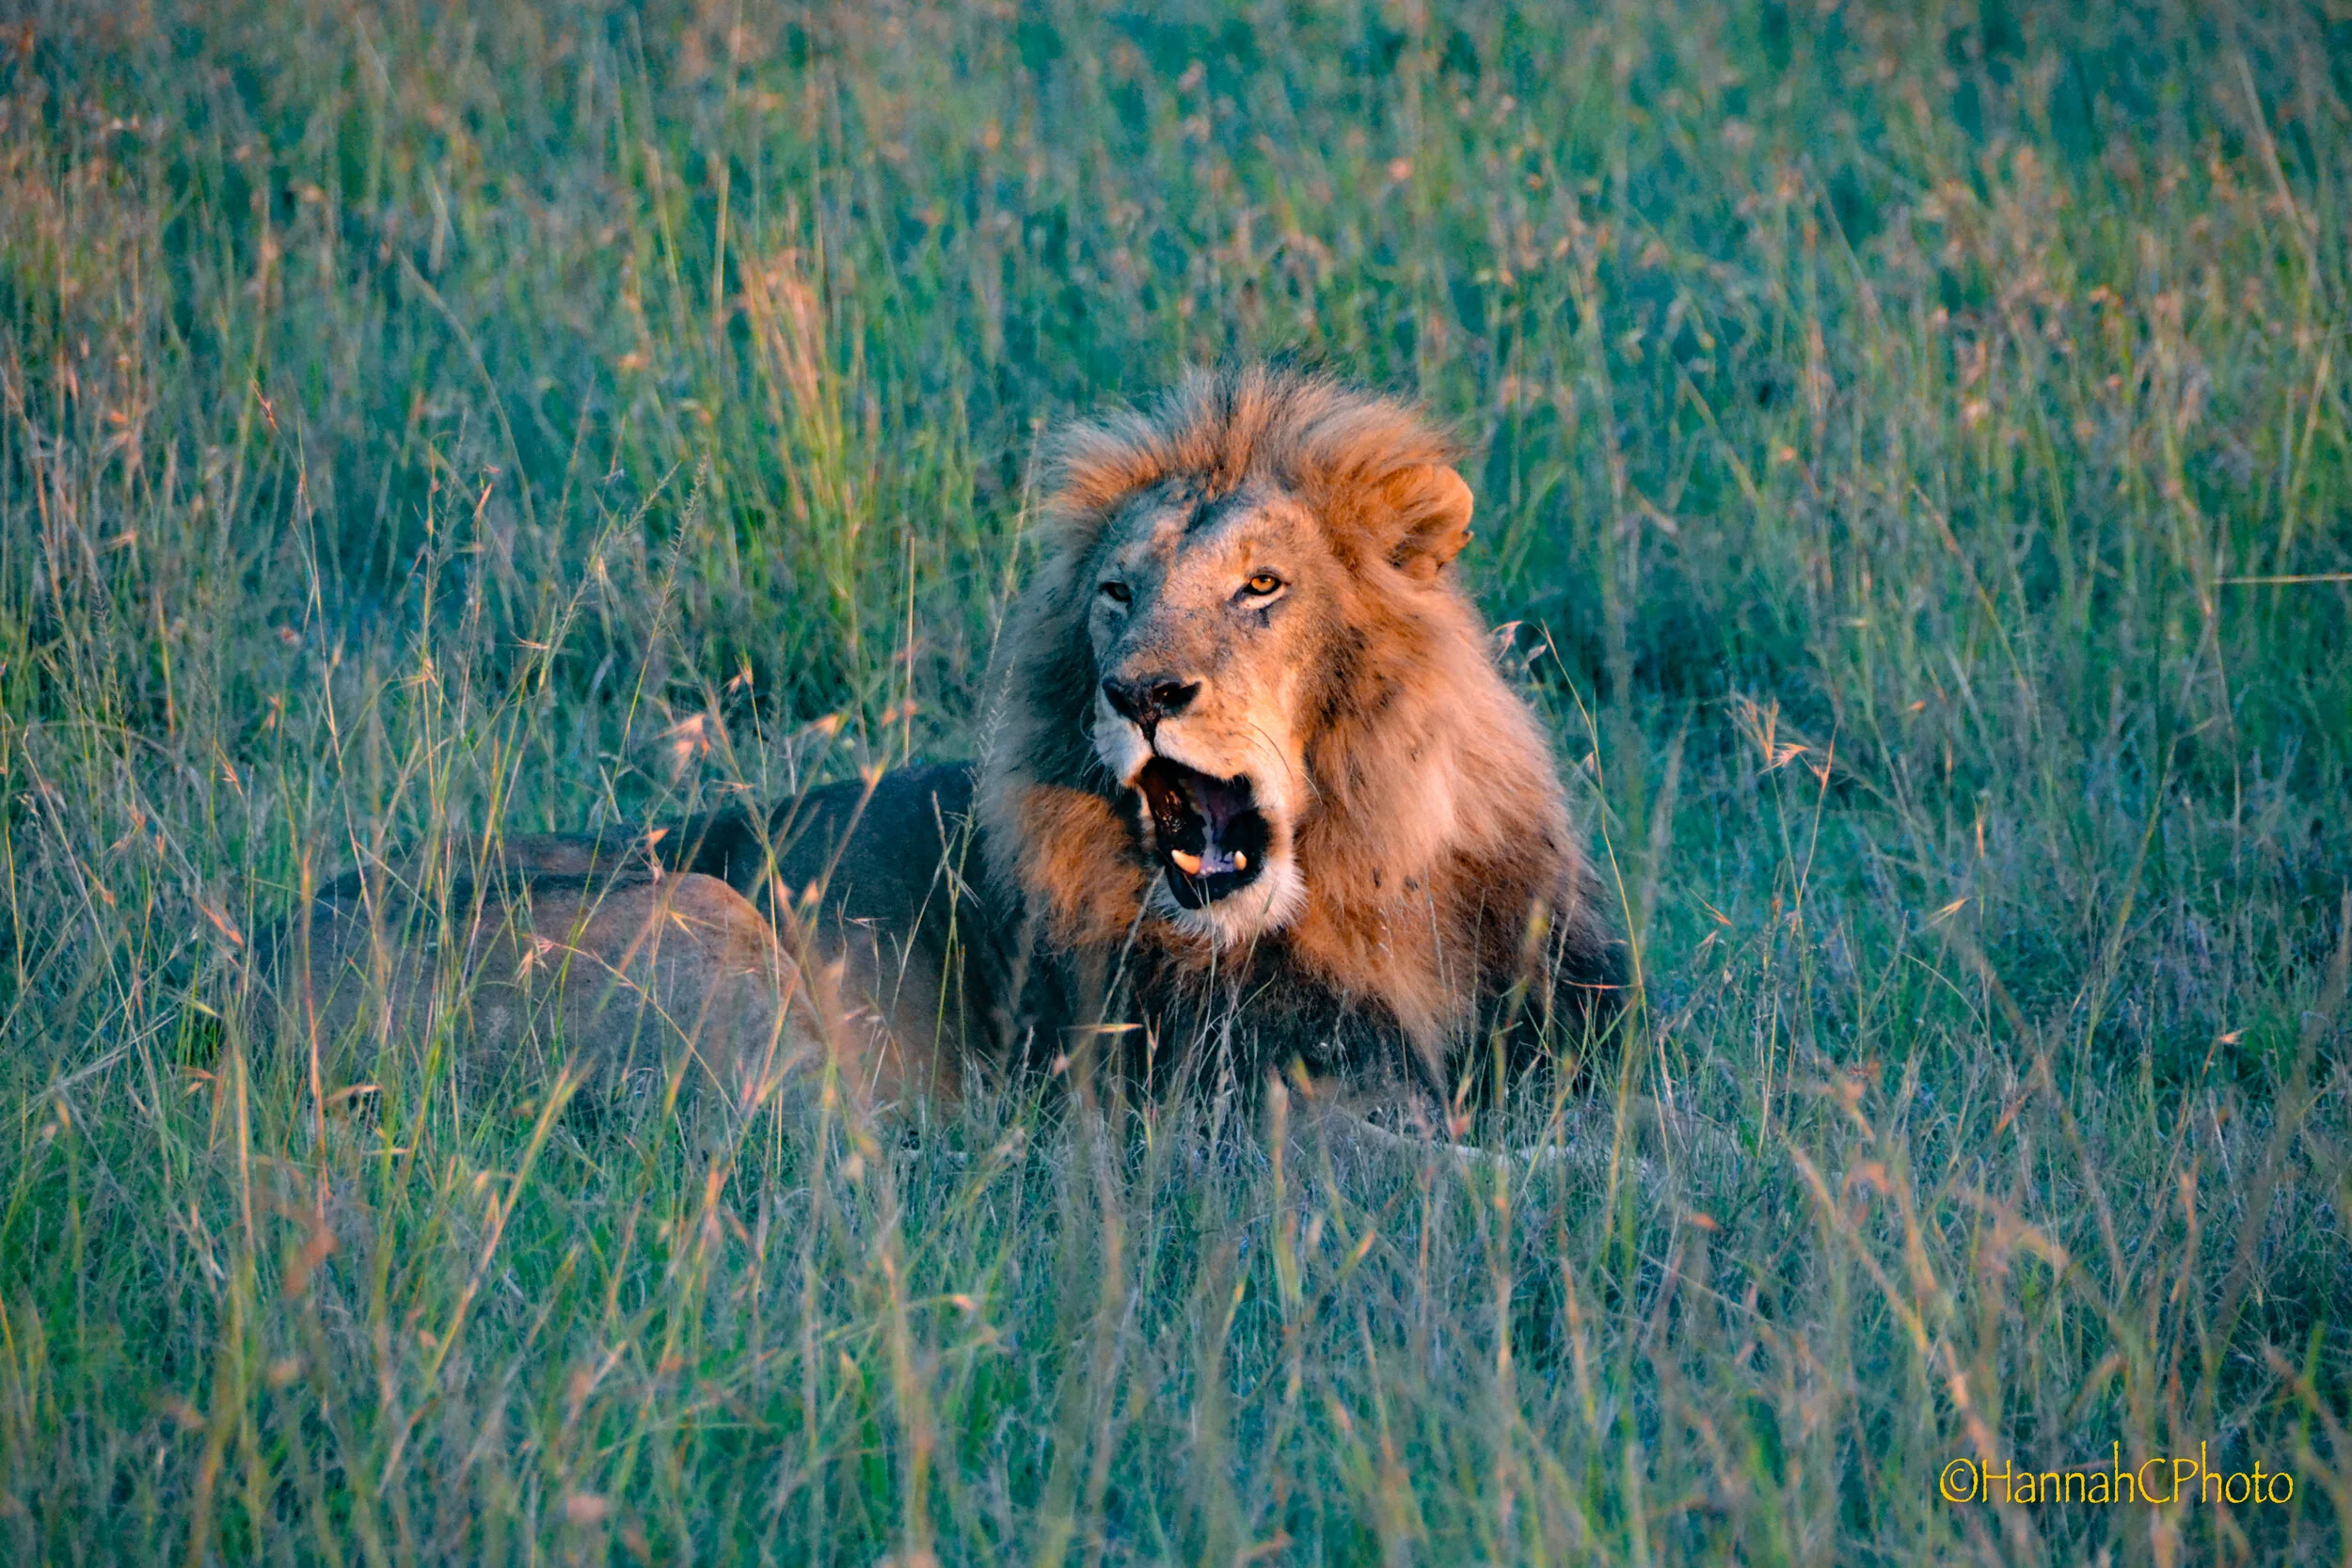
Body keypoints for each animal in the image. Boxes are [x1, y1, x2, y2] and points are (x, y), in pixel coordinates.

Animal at [270, 366, 1623, 1132]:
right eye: (1118, 593)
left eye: (1262, 587)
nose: (1141, 691)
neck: (1369, 878)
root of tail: (242, 980)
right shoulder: (1245, 1113)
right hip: (700, 924)